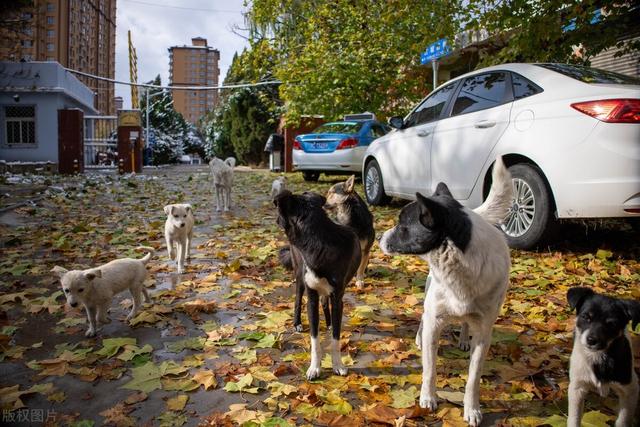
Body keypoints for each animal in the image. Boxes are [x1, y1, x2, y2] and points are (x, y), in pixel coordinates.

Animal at [274, 191, 362, 382]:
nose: (276, 220)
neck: (318, 241)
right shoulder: (311, 297)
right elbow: (314, 339)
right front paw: (314, 368)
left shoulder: (338, 298)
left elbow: (336, 337)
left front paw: (337, 365)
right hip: (300, 278)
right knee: (298, 301)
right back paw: (298, 323)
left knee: (325, 304)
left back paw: (328, 323)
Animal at [568, 288, 636, 427]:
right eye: (586, 317)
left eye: (612, 324)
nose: (591, 340)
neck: (597, 356)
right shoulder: (577, 388)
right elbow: (574, 418)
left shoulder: (630, 390)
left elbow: (623, 420)